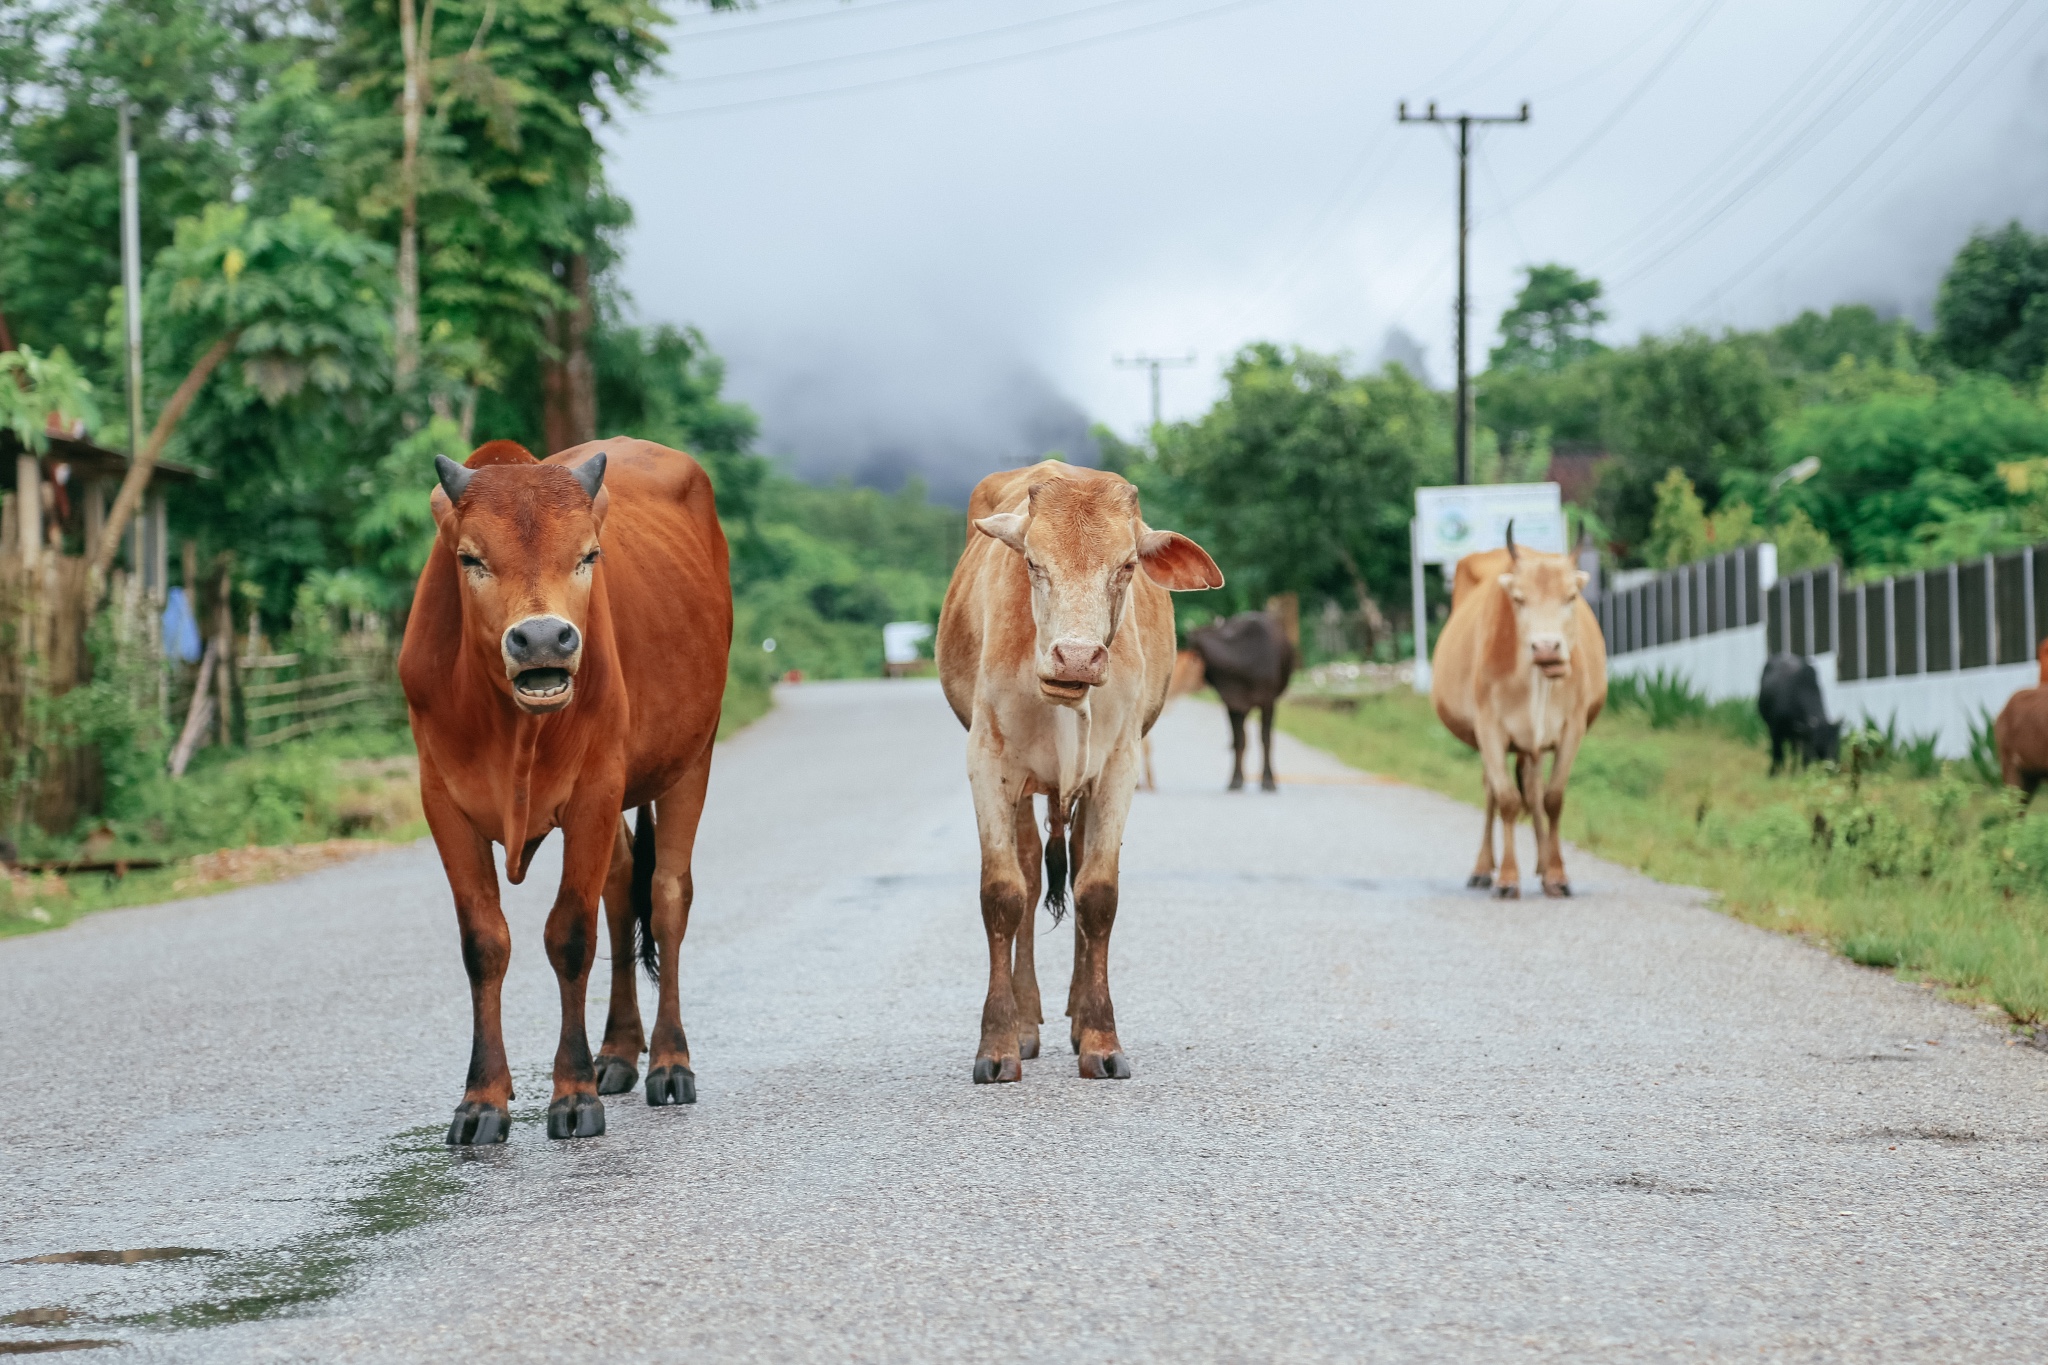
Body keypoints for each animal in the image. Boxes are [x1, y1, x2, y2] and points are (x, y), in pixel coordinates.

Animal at [395, 439, 733, 1146]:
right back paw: (618, 1052)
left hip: (694, 755)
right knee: (623, 888)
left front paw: (573, 1094)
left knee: (666, 896)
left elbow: (570, 936)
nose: (545, 639)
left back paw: (668, 1061)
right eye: (469, 557)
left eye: (588, 555)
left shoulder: (594, 792)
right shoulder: (441, 801)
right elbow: (484, 944)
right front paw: (481, 1101)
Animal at [937, 464, 1212, 1080]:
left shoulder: (1117, 768)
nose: (1077, 658)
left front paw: (1101, 1040)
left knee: (1080, 864)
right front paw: (998, 1044)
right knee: (1029, 874)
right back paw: (1027, 1020)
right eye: (1034, 563)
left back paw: (1079, 1015)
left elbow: (1098, 895)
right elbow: (1003, 894)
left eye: (1127, 566)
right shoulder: (987, 761)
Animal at [1433, 532, 1605, 896]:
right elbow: (1508, 800)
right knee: (1492, 793)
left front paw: (1557, 873)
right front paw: (1508, 877)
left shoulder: (1572, 728)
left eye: (1571, 596)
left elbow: (1553, 799)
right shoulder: (1489, 730)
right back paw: (1483, 869)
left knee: (1535, 787)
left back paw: (1543, 864)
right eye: (1518, 599)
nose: (1546, 648)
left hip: (1533, 746)